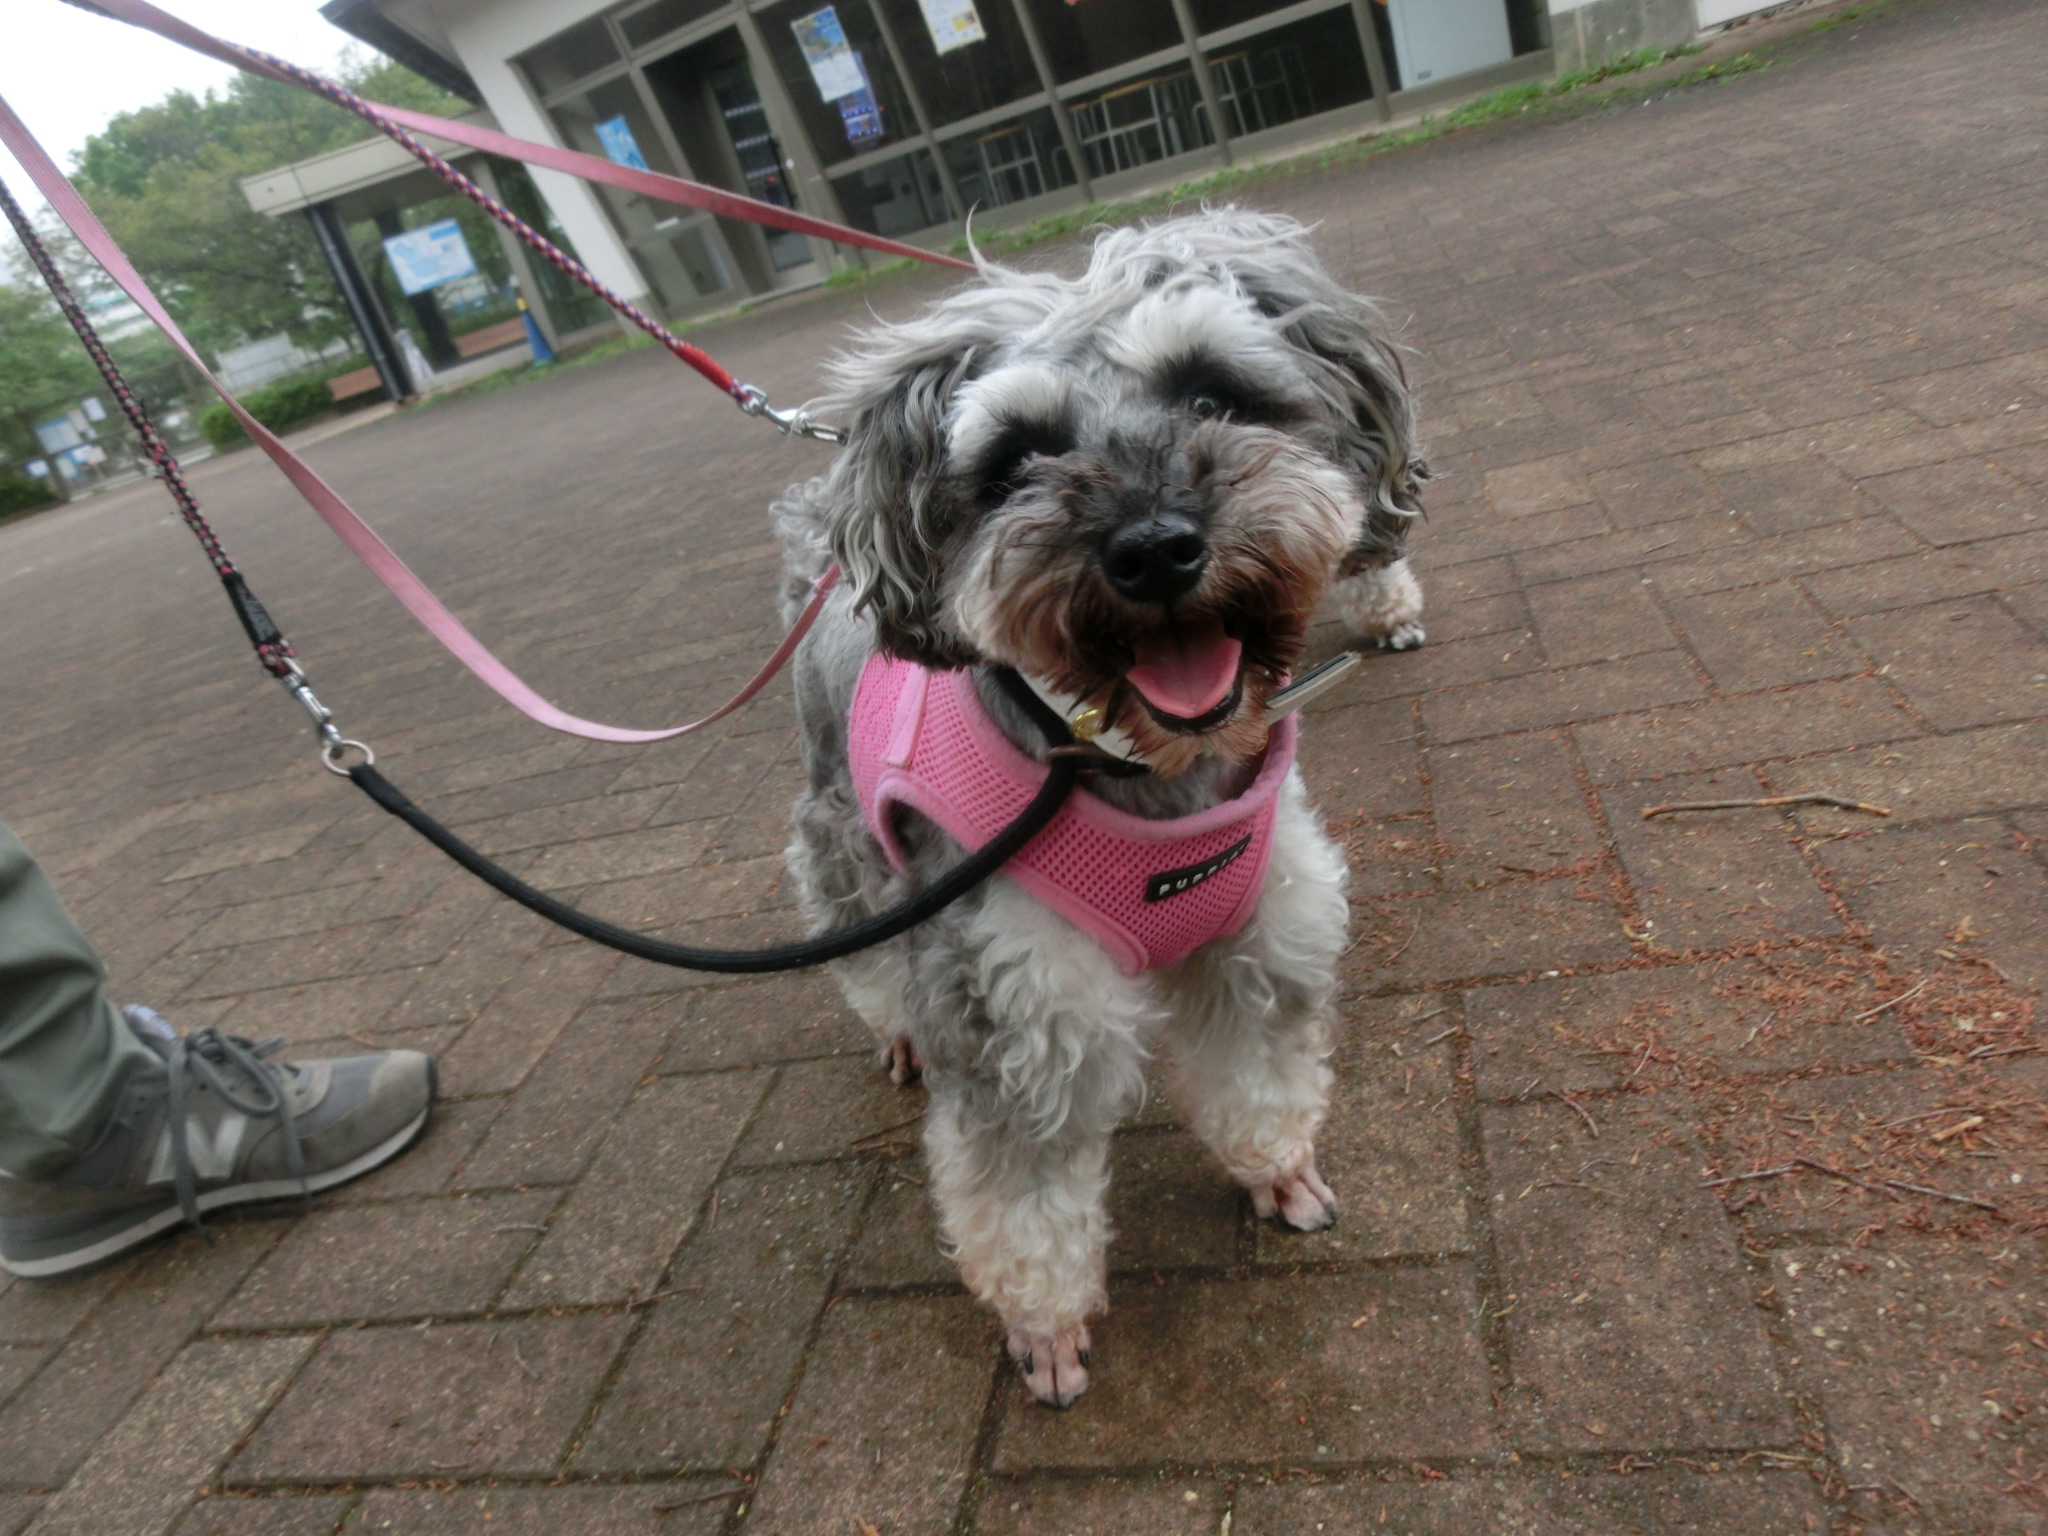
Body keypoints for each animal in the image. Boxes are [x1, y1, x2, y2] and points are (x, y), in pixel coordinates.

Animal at [771, 209, 1425, 1407]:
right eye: (1016, 458)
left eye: (1213, 391)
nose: (1153, 548)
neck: (1139, 769)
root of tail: (821, 560)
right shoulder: (1017, 1017)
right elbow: (1022, 1206)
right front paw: (1045, 1333)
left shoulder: (1261, 939)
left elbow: (1260, 1080)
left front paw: (1280, 1176)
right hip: (844, 844)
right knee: (861, 949)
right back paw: (897, 1034)